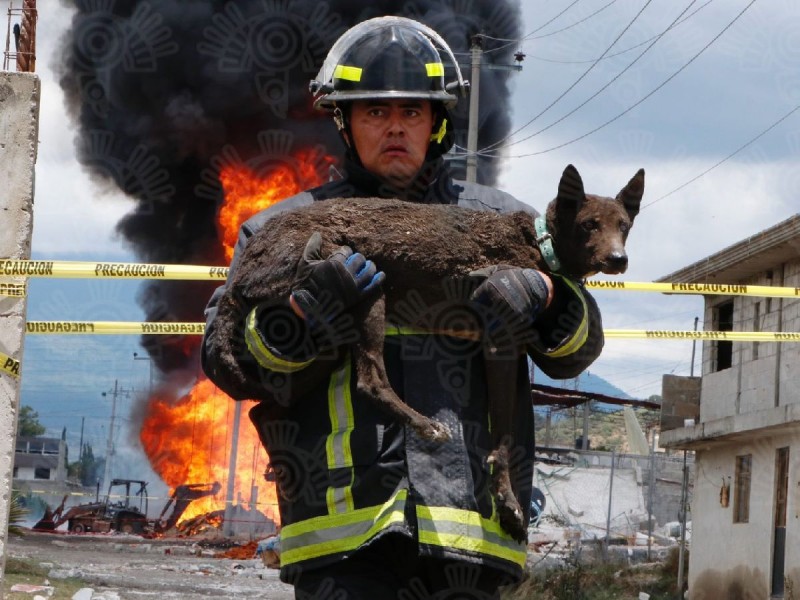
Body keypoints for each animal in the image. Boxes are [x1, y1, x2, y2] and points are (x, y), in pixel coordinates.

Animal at [214, 165, 644, 544]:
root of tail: (241, 269)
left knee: (268, 407)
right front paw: (507, 503)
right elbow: (504, 435)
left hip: (328, 333)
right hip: (360, 287)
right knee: (369, 381)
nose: (619, 260)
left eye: (624, 225)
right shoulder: (499, 337)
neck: (540, 242)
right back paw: (427, 426)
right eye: (589, 224)